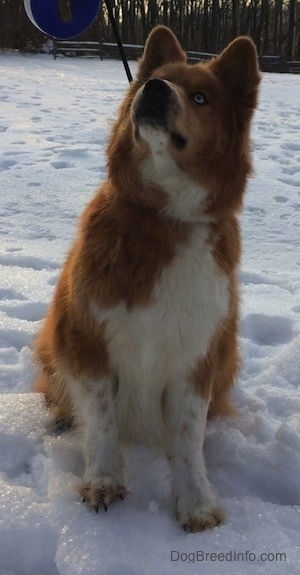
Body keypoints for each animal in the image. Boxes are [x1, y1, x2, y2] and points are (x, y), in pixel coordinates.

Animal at [33, 25, 260, 532]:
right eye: (158, 79)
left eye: (200, 97)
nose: (154, 89)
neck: (165, 217)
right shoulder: (84, 337)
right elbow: (100, 418)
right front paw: (103, 480)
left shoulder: (197, 354)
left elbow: (188, 435)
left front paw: (196, 502)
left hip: (228, 353)